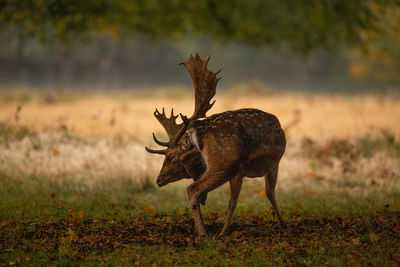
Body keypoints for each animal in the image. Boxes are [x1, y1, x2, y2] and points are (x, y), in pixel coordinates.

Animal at [145, 53, 286, 238]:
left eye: (173, 157)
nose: (159, 179)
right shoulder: (272, 164)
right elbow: (268, 193)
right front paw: (282, 223)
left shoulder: (241, 172)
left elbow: (236, 200)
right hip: (224, 163)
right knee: (193, 189)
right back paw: (203, 234)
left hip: (227, 166)